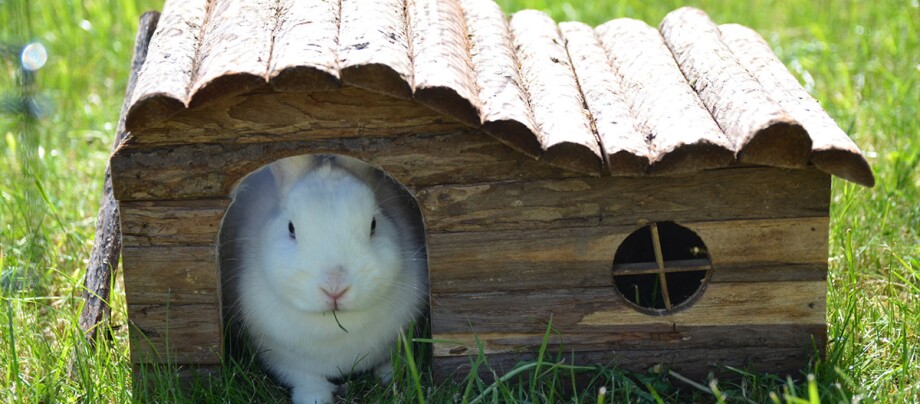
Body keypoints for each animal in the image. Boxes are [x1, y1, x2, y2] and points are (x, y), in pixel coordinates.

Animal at [221, 155, 428, 404]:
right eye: (291, 228)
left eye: (373, 225)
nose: (335, 288)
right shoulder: (284, 359)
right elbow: (307, 379)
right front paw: (315, 399)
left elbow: (391, 360)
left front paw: (390, 378)